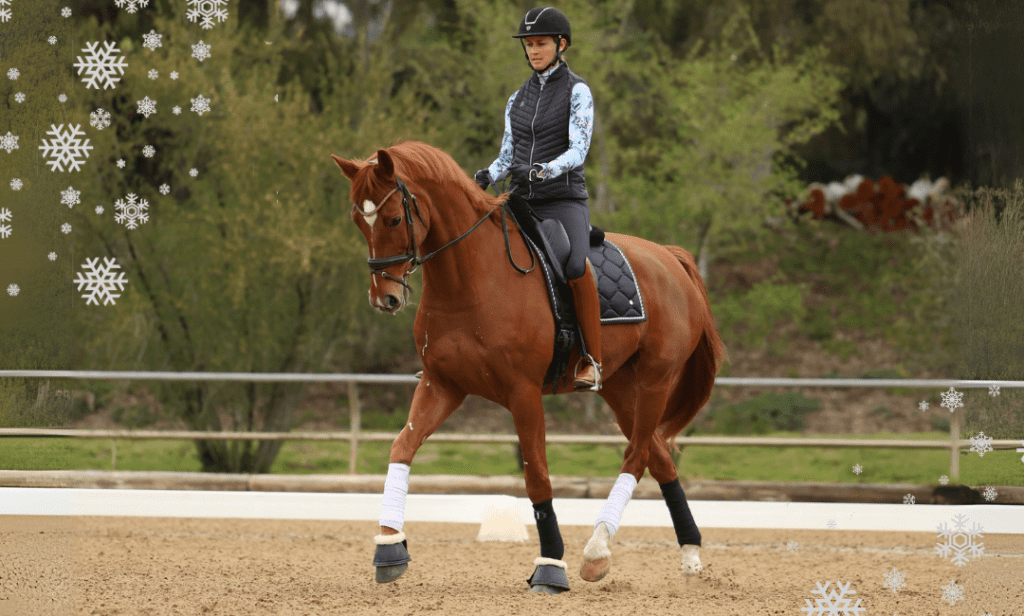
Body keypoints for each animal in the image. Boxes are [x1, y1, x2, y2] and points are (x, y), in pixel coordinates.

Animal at [331, 140, 727, 593]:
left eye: (395, 218)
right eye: (357, 221)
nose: (386, 298)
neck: (470, 279)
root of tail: (672, 258)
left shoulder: (522, 393)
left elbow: (536, 475)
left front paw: (551, 566)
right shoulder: (441, 385)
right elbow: (402, 448)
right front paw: (389, 548)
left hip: (655, 381)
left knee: (638, 454)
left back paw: (595, 552)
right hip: (620, 388)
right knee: (659, 457)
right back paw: (688, 554)